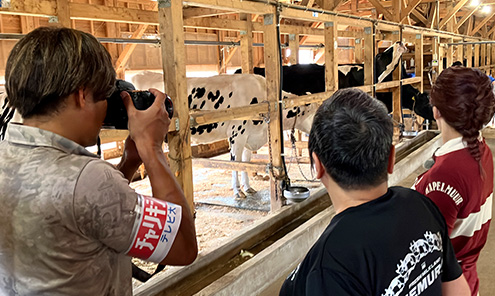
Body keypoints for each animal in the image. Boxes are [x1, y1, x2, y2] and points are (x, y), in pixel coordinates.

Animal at [132, 73, 318, 200]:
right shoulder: (237, 135)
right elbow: (236, 163)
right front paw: (238, 192)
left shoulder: (249, 137)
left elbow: (246, 163)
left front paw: (248, 188)